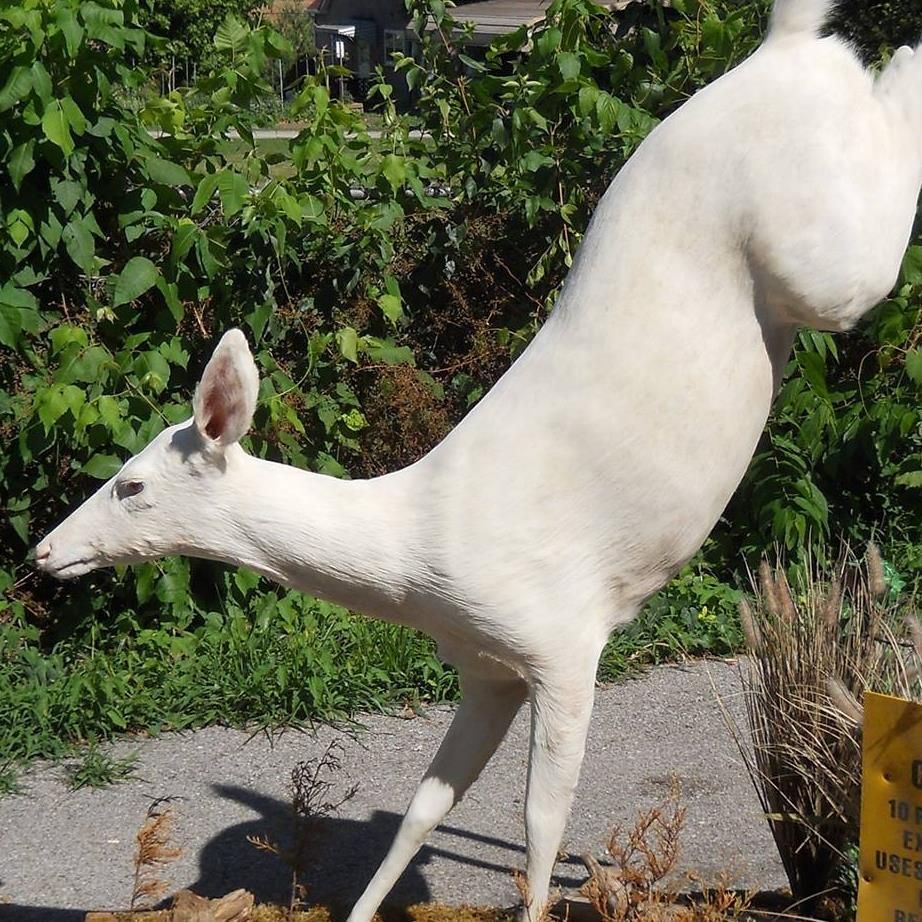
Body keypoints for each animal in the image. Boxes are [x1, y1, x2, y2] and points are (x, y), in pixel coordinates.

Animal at [34, 0, 922, 918]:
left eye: (131, 484)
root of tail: (782, 49)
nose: (42, 553)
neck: (413, 553)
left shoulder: (565, 643)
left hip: (821, 256)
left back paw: (906, 59)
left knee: (878, 212)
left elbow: (541, 821)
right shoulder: (488, 672)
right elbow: (424, 811)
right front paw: (362, 908)